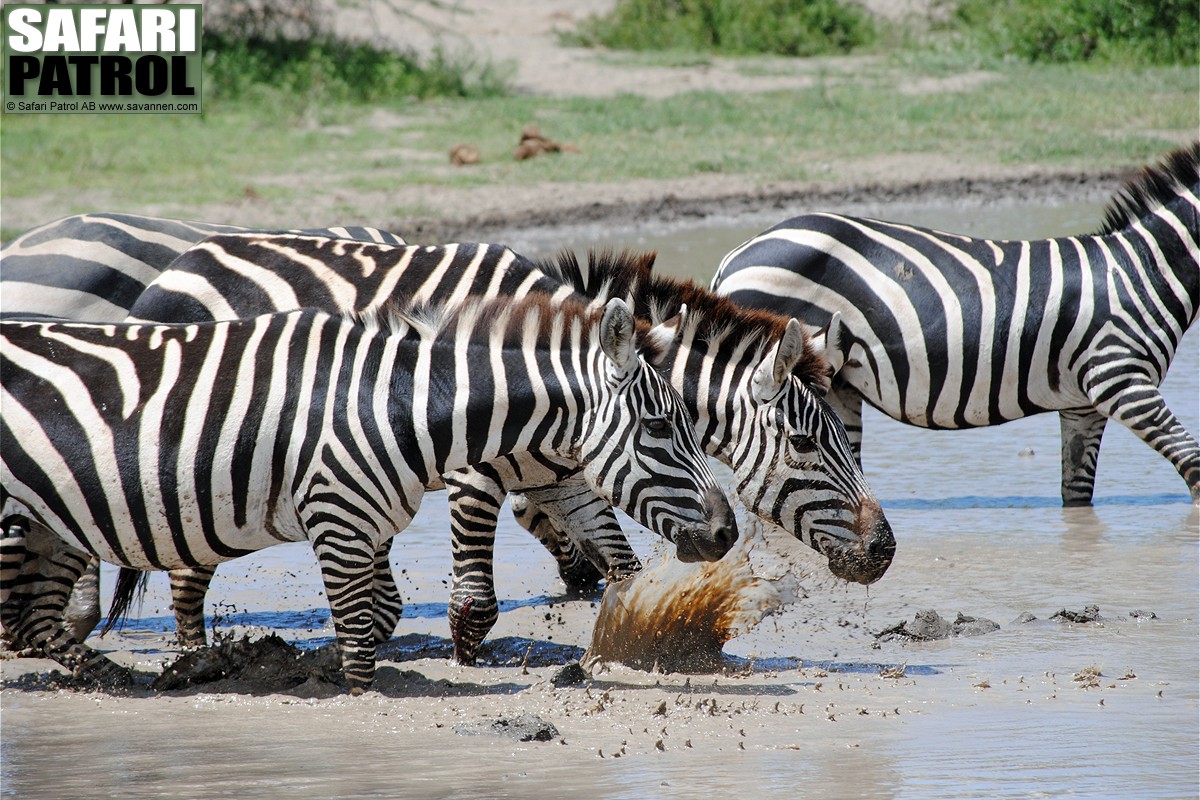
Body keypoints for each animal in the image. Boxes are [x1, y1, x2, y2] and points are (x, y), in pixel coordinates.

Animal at [0, 291, 734, 690]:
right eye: (660, 427)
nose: (728, 532)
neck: (397, 402)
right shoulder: (339, 517)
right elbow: (361, 634)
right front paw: (356, 693)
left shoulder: (366, 523)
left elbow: (381, 613)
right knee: (25, 622)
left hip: (53, 521)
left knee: (31, 622)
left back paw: (125, 679)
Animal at [119, 236, 892, 662]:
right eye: (806, 443)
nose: (885, 551)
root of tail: (174, 267)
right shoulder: (471, 474)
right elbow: (475, 605)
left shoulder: (565, 481)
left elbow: (622, 567)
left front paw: (638, 642)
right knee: (186, 568)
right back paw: (192, 661)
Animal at [710, 142, 1200, 506]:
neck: (1143, 269)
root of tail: (733, 257)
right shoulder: (1121, 380)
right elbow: (1192, 463)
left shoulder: (1083, 404)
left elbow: (1076, 493)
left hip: (836, 386)